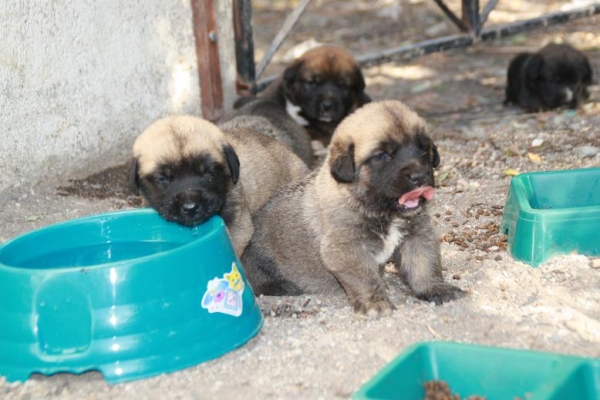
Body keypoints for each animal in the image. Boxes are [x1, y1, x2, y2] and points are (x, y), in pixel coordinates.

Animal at [241, 100, 466, 316]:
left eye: (423, 149)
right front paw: (375, 303)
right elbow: (365, 278)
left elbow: (423, 266)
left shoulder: (417, 236)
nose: (419, 176)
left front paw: (435, 288)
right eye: (383, 155)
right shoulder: (346, 249)